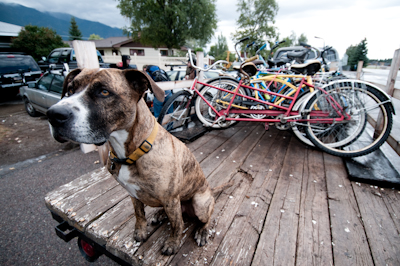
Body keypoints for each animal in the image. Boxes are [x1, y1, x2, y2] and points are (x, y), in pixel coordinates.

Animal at [47, 67, 219, 255]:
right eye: (70, 89)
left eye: (104, 92)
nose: (53, 114)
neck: (132, 151)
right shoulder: (133, 194)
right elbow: (139, 214)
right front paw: (140, 231)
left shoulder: (171, 198)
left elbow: (176, 225)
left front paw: (173, 243)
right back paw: (160, 214)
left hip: (199, 203)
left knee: (205, 218)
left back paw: (202, 231)